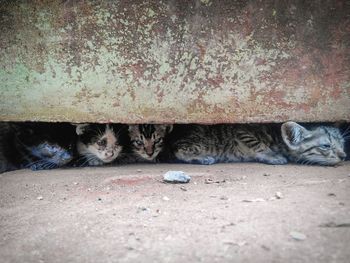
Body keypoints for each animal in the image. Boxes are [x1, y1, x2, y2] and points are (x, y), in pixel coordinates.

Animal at [171, 122, 346, 167]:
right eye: (326, 146)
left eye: (342, 144)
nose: (344, 156)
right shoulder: (240, 129)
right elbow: (258, 144)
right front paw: (272, 155)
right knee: (179, 150)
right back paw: (202, 157)